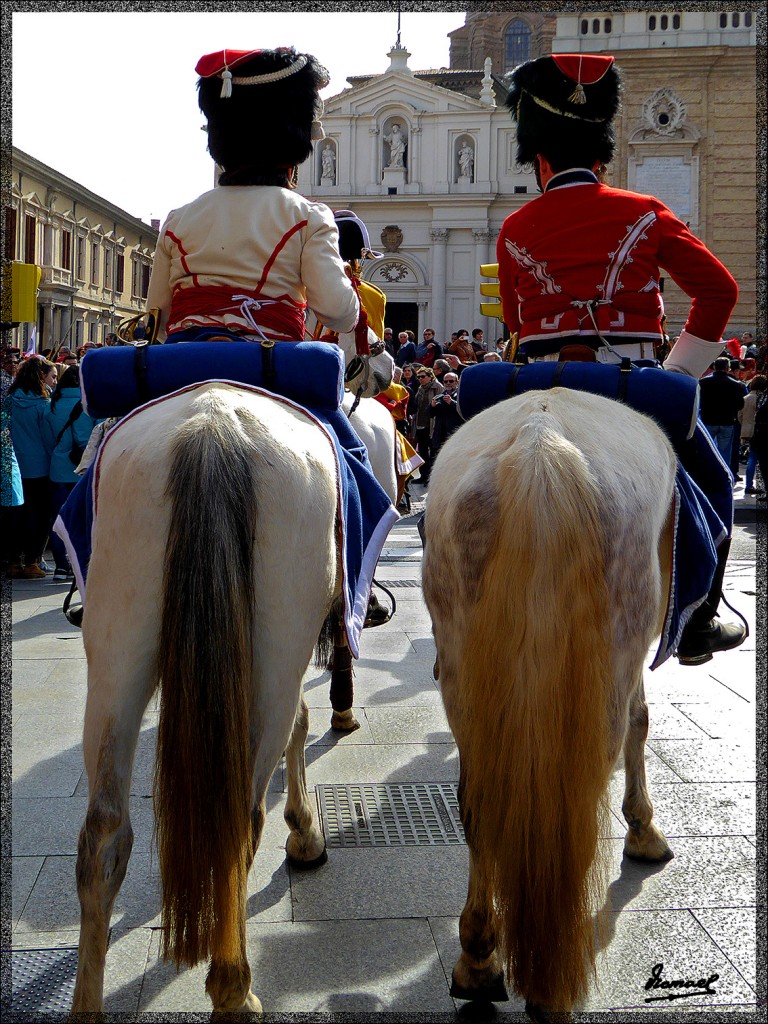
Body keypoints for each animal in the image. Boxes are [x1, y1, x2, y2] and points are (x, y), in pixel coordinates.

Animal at [70, 337, 397, 1015]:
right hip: (274, 649)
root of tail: (213, 429)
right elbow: (303, 721)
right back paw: (234, 988)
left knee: (104, 837)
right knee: (239, 819)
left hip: (117, 652)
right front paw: (306, 835)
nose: (382, 370)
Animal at [421, 387, 679, 1019]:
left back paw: (479, 960)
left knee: (479, 804)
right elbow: (640, 722)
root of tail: (540, 454)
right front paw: (643, 829)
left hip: (465, 676)